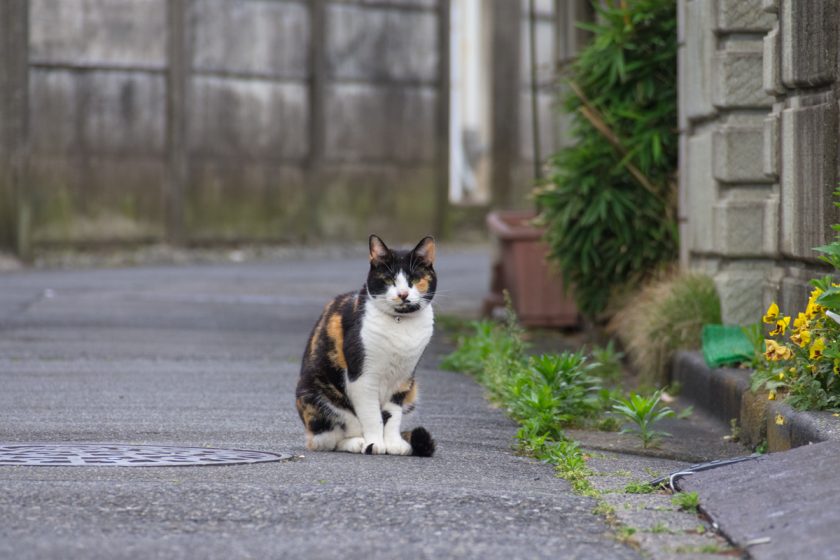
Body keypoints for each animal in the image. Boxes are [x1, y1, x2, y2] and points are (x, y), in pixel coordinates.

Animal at [296, 234, 436, 458]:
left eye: (414, 280)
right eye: (389, 280)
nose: (403, 294)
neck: (400, 322)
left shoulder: (404, 378)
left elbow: (393, 414)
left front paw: (393, 443)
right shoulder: (362, 377)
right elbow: (372, 416)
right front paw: (375, 443)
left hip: (413, 390)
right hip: (317, 397)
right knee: (329, 438)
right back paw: (358, 443)